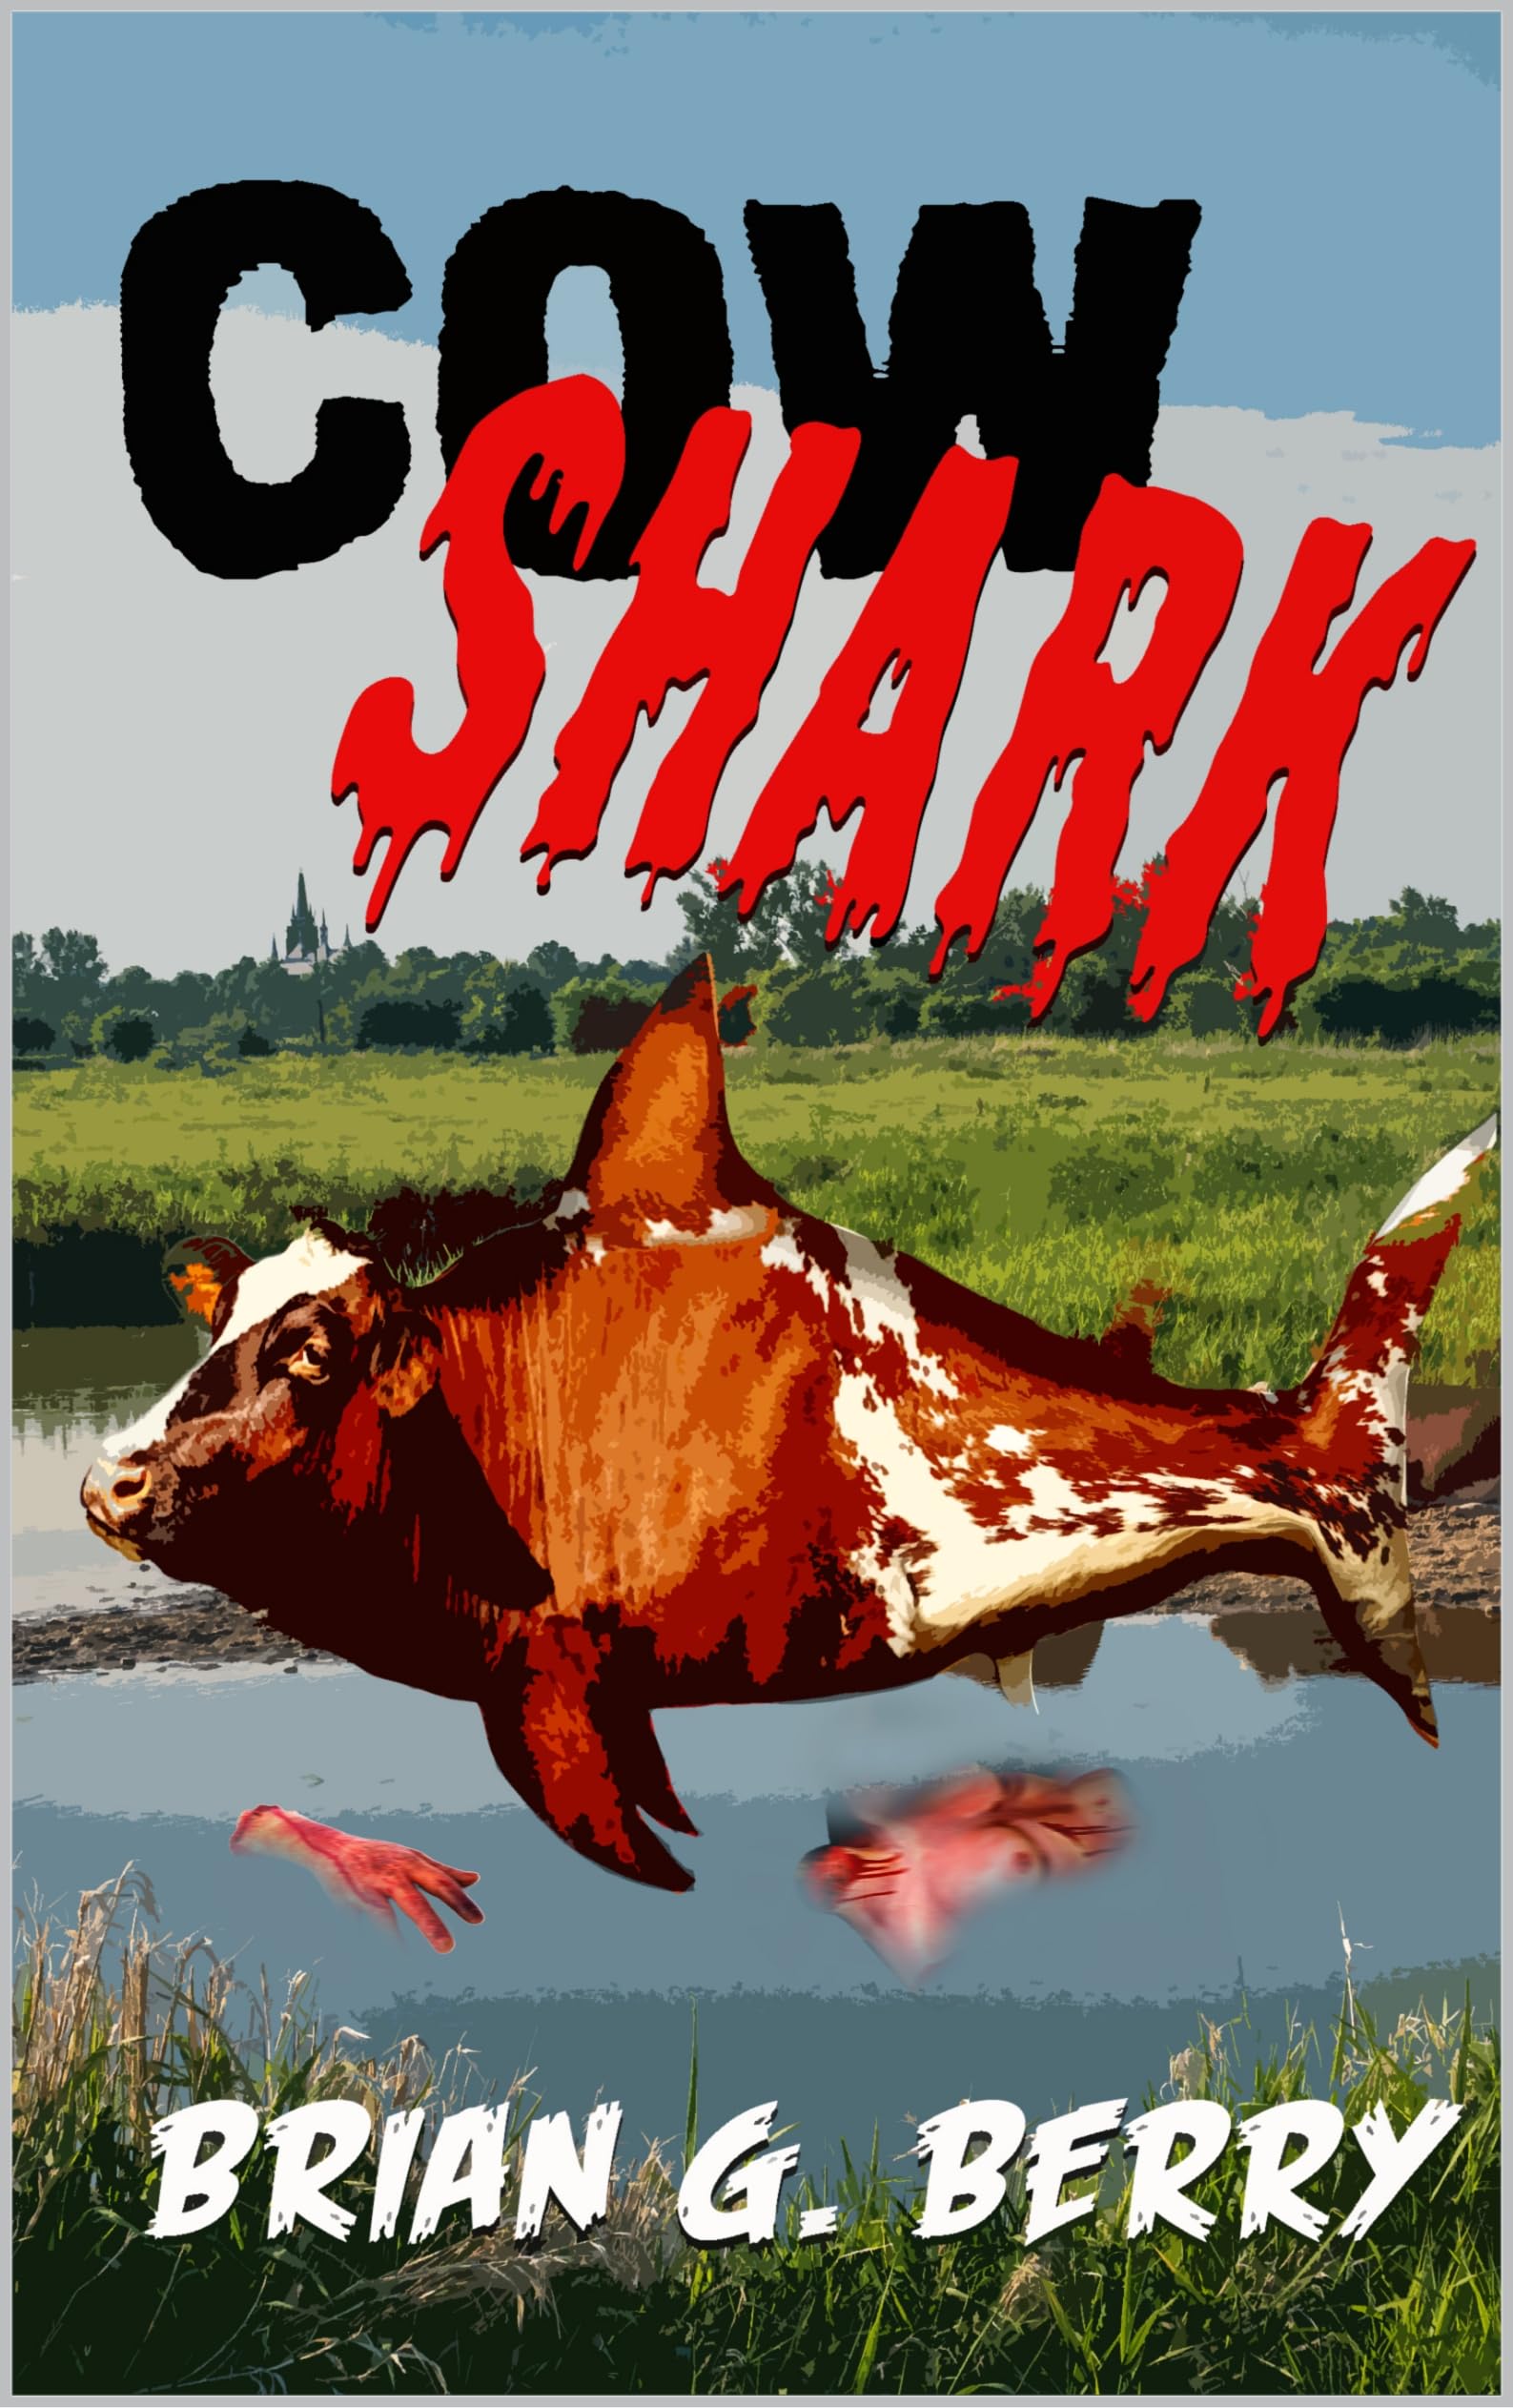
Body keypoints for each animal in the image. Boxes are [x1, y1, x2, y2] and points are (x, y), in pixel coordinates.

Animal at [82, 957, 1495, 1916]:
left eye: (310, 1351)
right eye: (215, 1325)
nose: (109, 1481)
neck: (478, 1414)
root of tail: (1311, 1427)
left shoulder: (544, 1679)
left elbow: (611, 1825)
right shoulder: (604, 1690)